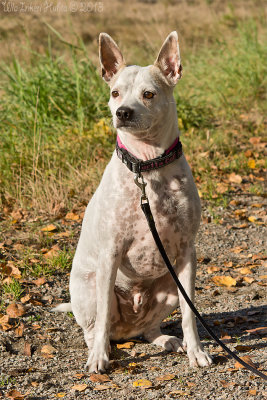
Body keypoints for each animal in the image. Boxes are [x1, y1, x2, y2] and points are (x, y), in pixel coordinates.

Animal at [54, 30, 214, 372]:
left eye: (149, 94)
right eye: (115, 93)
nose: (122, 112)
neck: (147, 166)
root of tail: (126, 329)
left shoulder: (187, 253)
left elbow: (189, 313)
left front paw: (196, 350)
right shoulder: (111, 253)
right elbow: (102, 317)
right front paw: (98, 359)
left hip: (168, 286)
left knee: (148, 328)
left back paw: (166, 340)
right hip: (90, 289)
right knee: (96, 328)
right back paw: (101, 350)